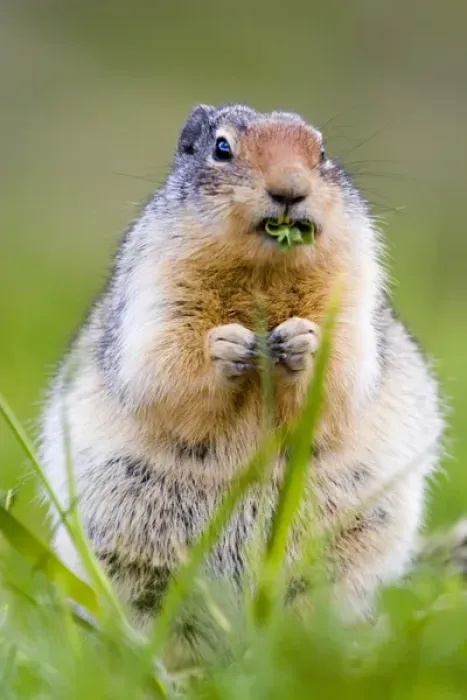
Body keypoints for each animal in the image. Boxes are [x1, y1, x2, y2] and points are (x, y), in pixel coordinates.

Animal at [39, 103, 444, 626]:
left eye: (322, 152)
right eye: (222, 147)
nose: (290, 188)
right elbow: (158, 360)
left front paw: (304, 342)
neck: (264, 273)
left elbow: (347, 367)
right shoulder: (157, 285)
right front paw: (225, 346)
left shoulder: (353, 289)